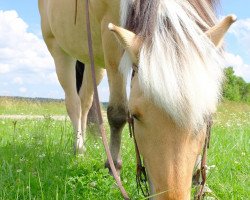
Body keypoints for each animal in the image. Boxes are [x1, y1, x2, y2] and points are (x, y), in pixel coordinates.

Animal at [38, 0, 234, 198]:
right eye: (135, 115)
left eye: (207, 117)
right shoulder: (110, 39)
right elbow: (117, 114)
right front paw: (113, 170)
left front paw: (199, 181)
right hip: (58, 49)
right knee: (73, 103)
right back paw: (79, 148)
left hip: (92, 59)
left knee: (85, 101)